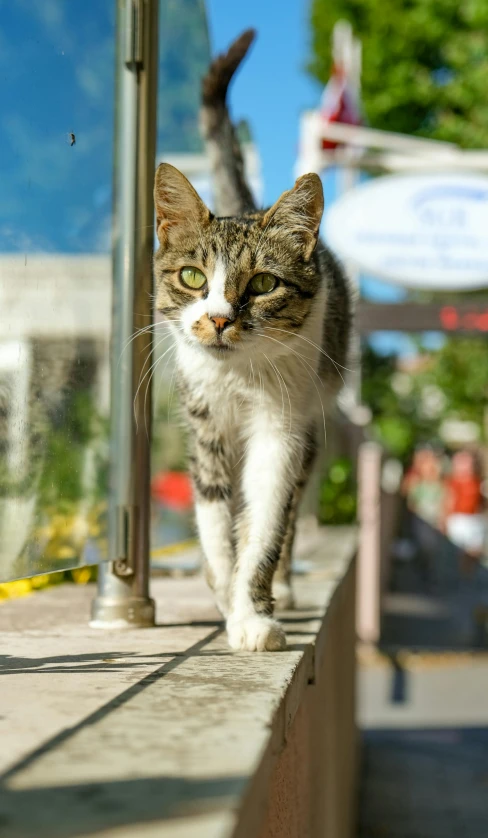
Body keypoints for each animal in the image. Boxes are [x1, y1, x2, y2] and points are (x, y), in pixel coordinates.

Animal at [153, 29, 350, 652]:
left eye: (263, 284)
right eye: (194, 277)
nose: (218, 319)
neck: (238, 374)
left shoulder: (283, 424)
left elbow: (267, 518)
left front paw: (253, 612)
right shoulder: (204, 419)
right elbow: (216, 518)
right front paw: (224, 593)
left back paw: (283, 587)